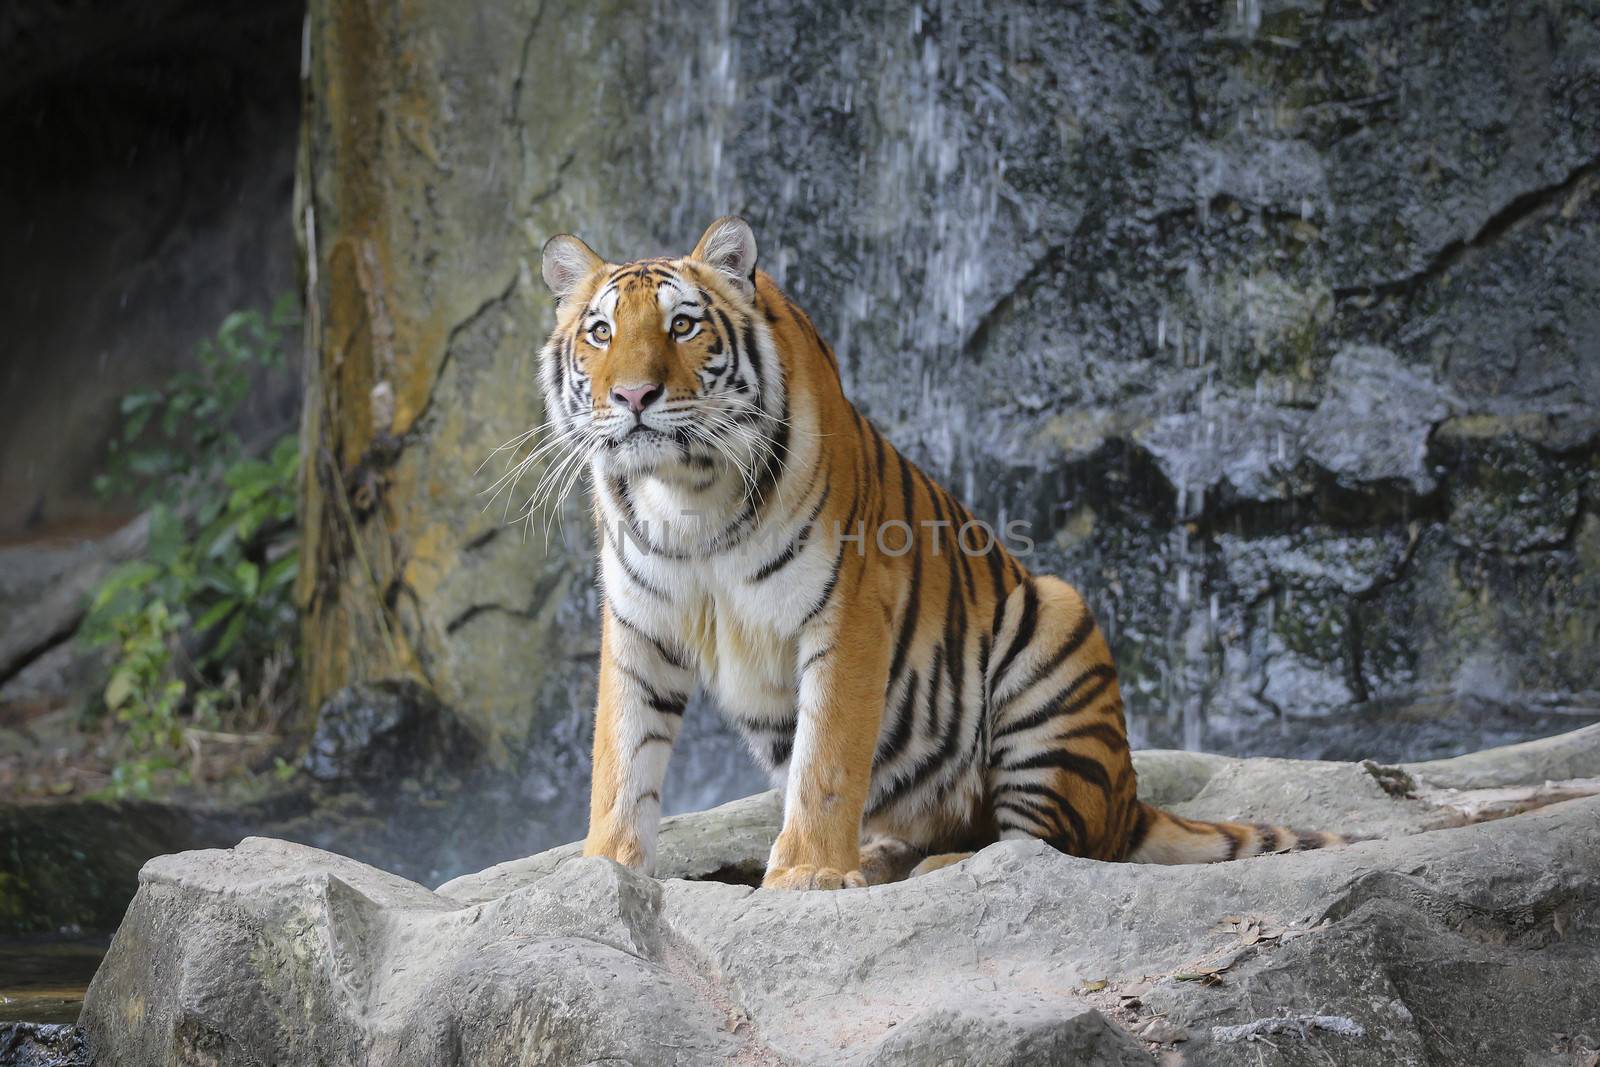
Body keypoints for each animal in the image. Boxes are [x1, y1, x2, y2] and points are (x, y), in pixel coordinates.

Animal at [531, 217, 1344, 895]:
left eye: (683, 325)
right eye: (600, 331)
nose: (634, 396)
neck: (687, 494)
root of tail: (1130, 799)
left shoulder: (846, 614)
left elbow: (826, 761)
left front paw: (807, 873)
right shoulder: (639, 626)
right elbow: (621, 760)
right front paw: (602, 869)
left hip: (1055, 630)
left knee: (1046, 845)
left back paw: (935, 865)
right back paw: (880, 857)